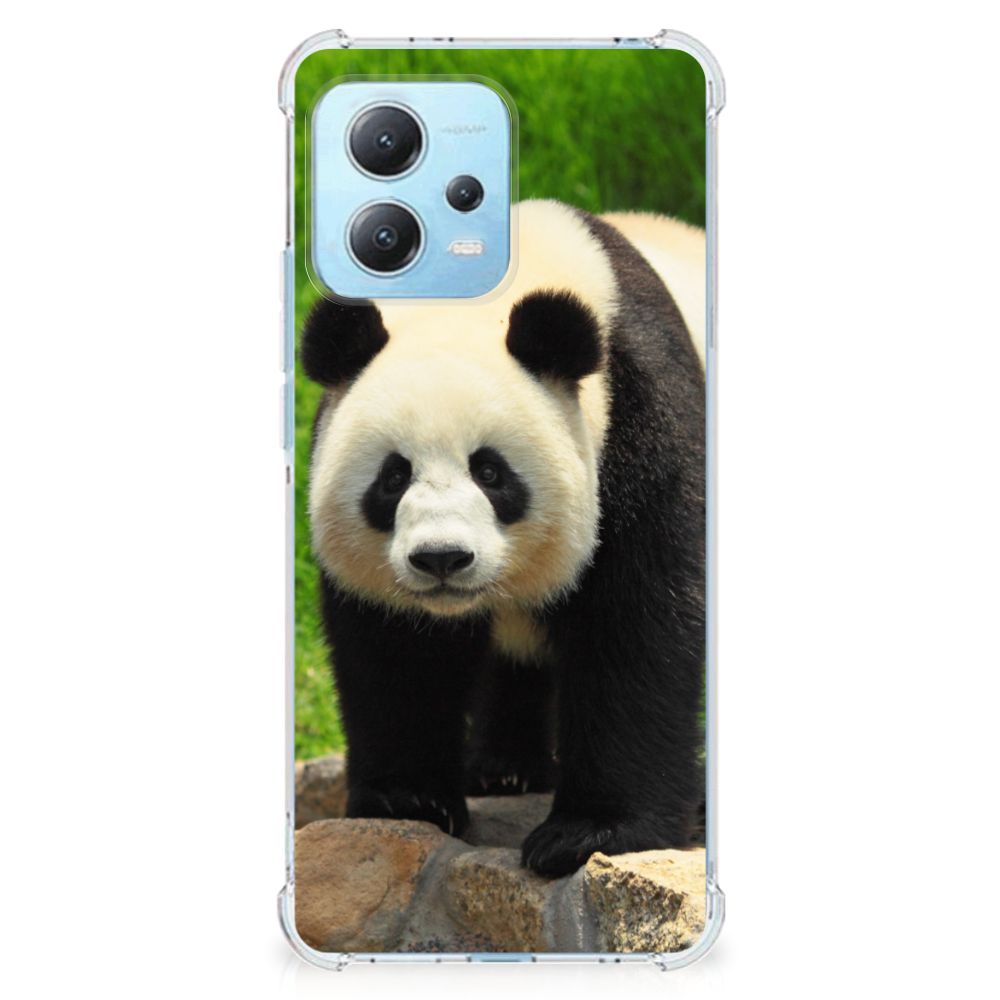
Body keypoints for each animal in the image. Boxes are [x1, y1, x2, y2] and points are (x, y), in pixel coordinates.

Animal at [302, 199, 706, 877]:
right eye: (393, 476)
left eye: (490, 472)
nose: (442, 558)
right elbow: (395, 650)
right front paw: (408, 800)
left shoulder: (642, 421)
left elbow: (640, 625)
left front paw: (589, 833)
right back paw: (504, 769)